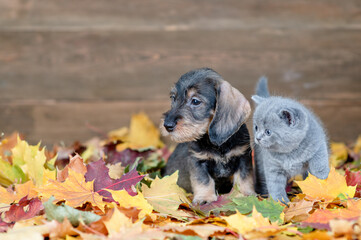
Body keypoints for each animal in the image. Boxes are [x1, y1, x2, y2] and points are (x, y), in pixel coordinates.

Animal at [160, 68, 253, 204]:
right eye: (173, 97)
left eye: (195, 101)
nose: (167, 125)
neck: (218, 145)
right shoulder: (198, 161)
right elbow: (203, 181)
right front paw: (205, 198)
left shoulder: (243, 157)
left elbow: (244, 178)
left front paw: (244, 195)